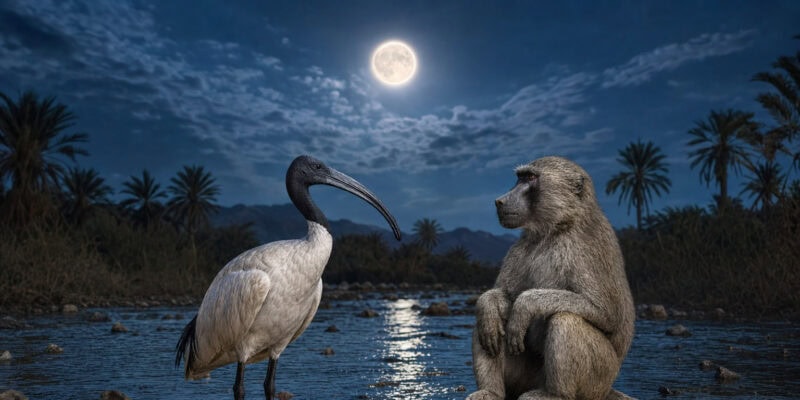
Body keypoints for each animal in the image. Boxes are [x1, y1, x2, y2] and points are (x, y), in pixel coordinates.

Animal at [467, 156, 635, 400]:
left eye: (530, 178)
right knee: (486, 323)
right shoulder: (522, 247)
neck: (557, 228)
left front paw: (526, 304)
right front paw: (487, 304)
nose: (500, 201)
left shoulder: (586, 247)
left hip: (599, 379)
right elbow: (503, 295)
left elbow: (606, 312)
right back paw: (491, 391)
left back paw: (555, 394)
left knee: (565, 319)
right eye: (520, 178)